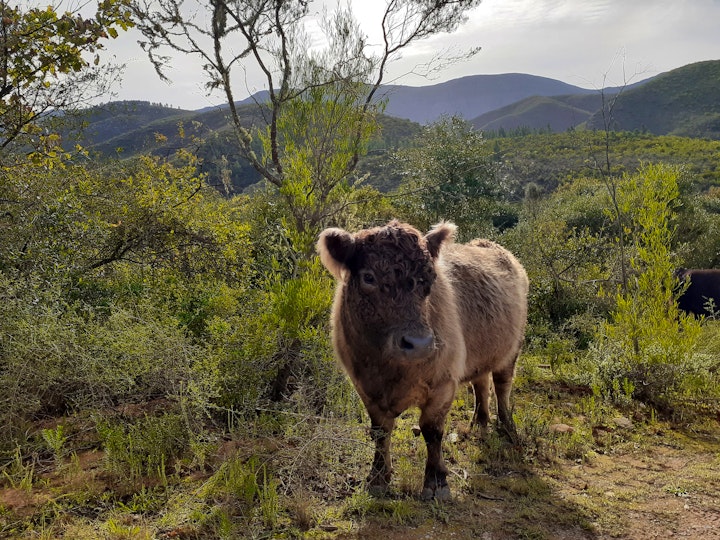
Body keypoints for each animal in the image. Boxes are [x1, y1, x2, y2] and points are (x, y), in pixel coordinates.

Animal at [316, 220, 528, 502]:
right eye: (368, 277)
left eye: (430, 279)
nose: (419, 343)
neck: (389, 370)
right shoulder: (365, 386)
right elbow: (380, 431)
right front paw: (378, 478)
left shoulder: (442, 385)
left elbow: (432, 431)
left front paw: (436, 483)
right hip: (481, 353)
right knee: (481, 384)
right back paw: (478, 423)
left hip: (511, 349)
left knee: (502, 387)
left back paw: (506, 428)